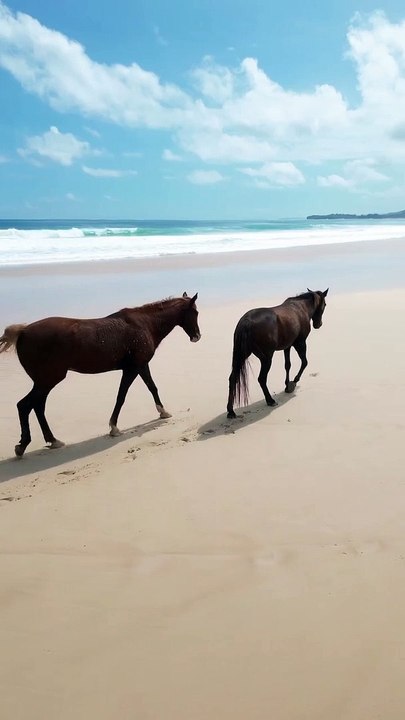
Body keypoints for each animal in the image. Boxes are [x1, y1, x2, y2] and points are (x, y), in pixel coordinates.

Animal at [0, 293, 201, 457]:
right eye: (196, 313)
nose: (197, 336)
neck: (145, 324)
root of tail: (23, 331)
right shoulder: (132, 369)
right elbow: (121, 396)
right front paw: (114, 427)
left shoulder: (141, 366)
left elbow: (152, 387)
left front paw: (163, 412)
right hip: (48, 379)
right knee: (25, 405)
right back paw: (24, 445)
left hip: (44, 381)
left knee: (37, 406)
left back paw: (52, 440)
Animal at [226, 289, 328, 418]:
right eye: (325, 304)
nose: (318, 324)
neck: (301, 308)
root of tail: (246, 321)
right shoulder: (300, 343)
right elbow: (304, 362)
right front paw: (293, 382)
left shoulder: (287, 346)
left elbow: (287, 365)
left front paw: (287, 384)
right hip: (266, 358)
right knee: (262, 378)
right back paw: (270, 400)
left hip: (242, 355)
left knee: (233, 378)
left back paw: (230, 410)